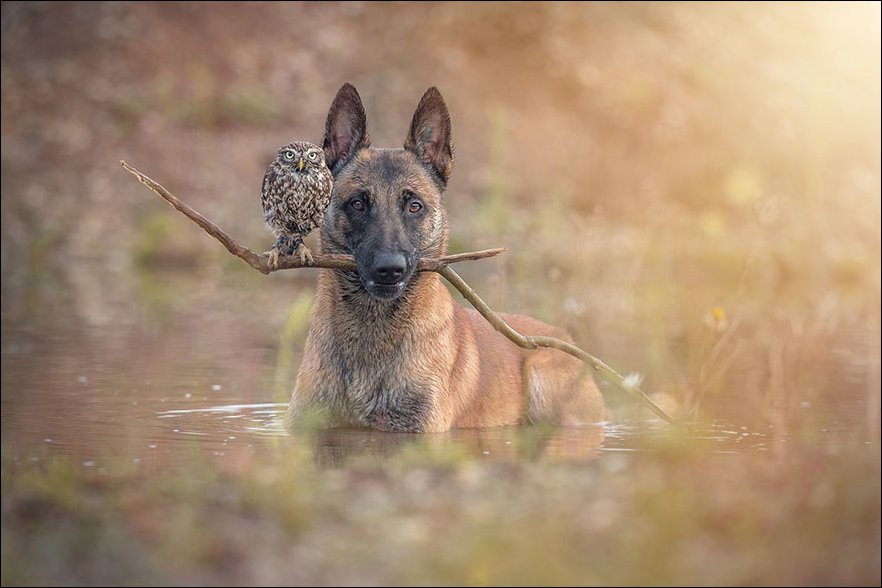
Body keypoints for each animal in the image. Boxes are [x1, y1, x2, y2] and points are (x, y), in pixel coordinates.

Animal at [288, 81, 604, 432]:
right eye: (357, 203)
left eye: (415, 206)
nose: (390, 269)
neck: (371, 331)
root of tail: (564, 337)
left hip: (542, 374)